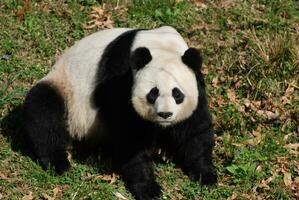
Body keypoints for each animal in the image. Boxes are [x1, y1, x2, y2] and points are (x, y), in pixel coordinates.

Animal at [22, 25, 216, 199]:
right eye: (153, 93)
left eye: (177, 94)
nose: (165, 114)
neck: (160, 46)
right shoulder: (120, 76)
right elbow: (129, 134)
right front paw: (149, 189)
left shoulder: (196, 81)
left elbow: (195, 129)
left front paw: (205, 175)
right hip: (66, 90)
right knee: (44, 110)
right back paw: (59, 163)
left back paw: (164, 152)